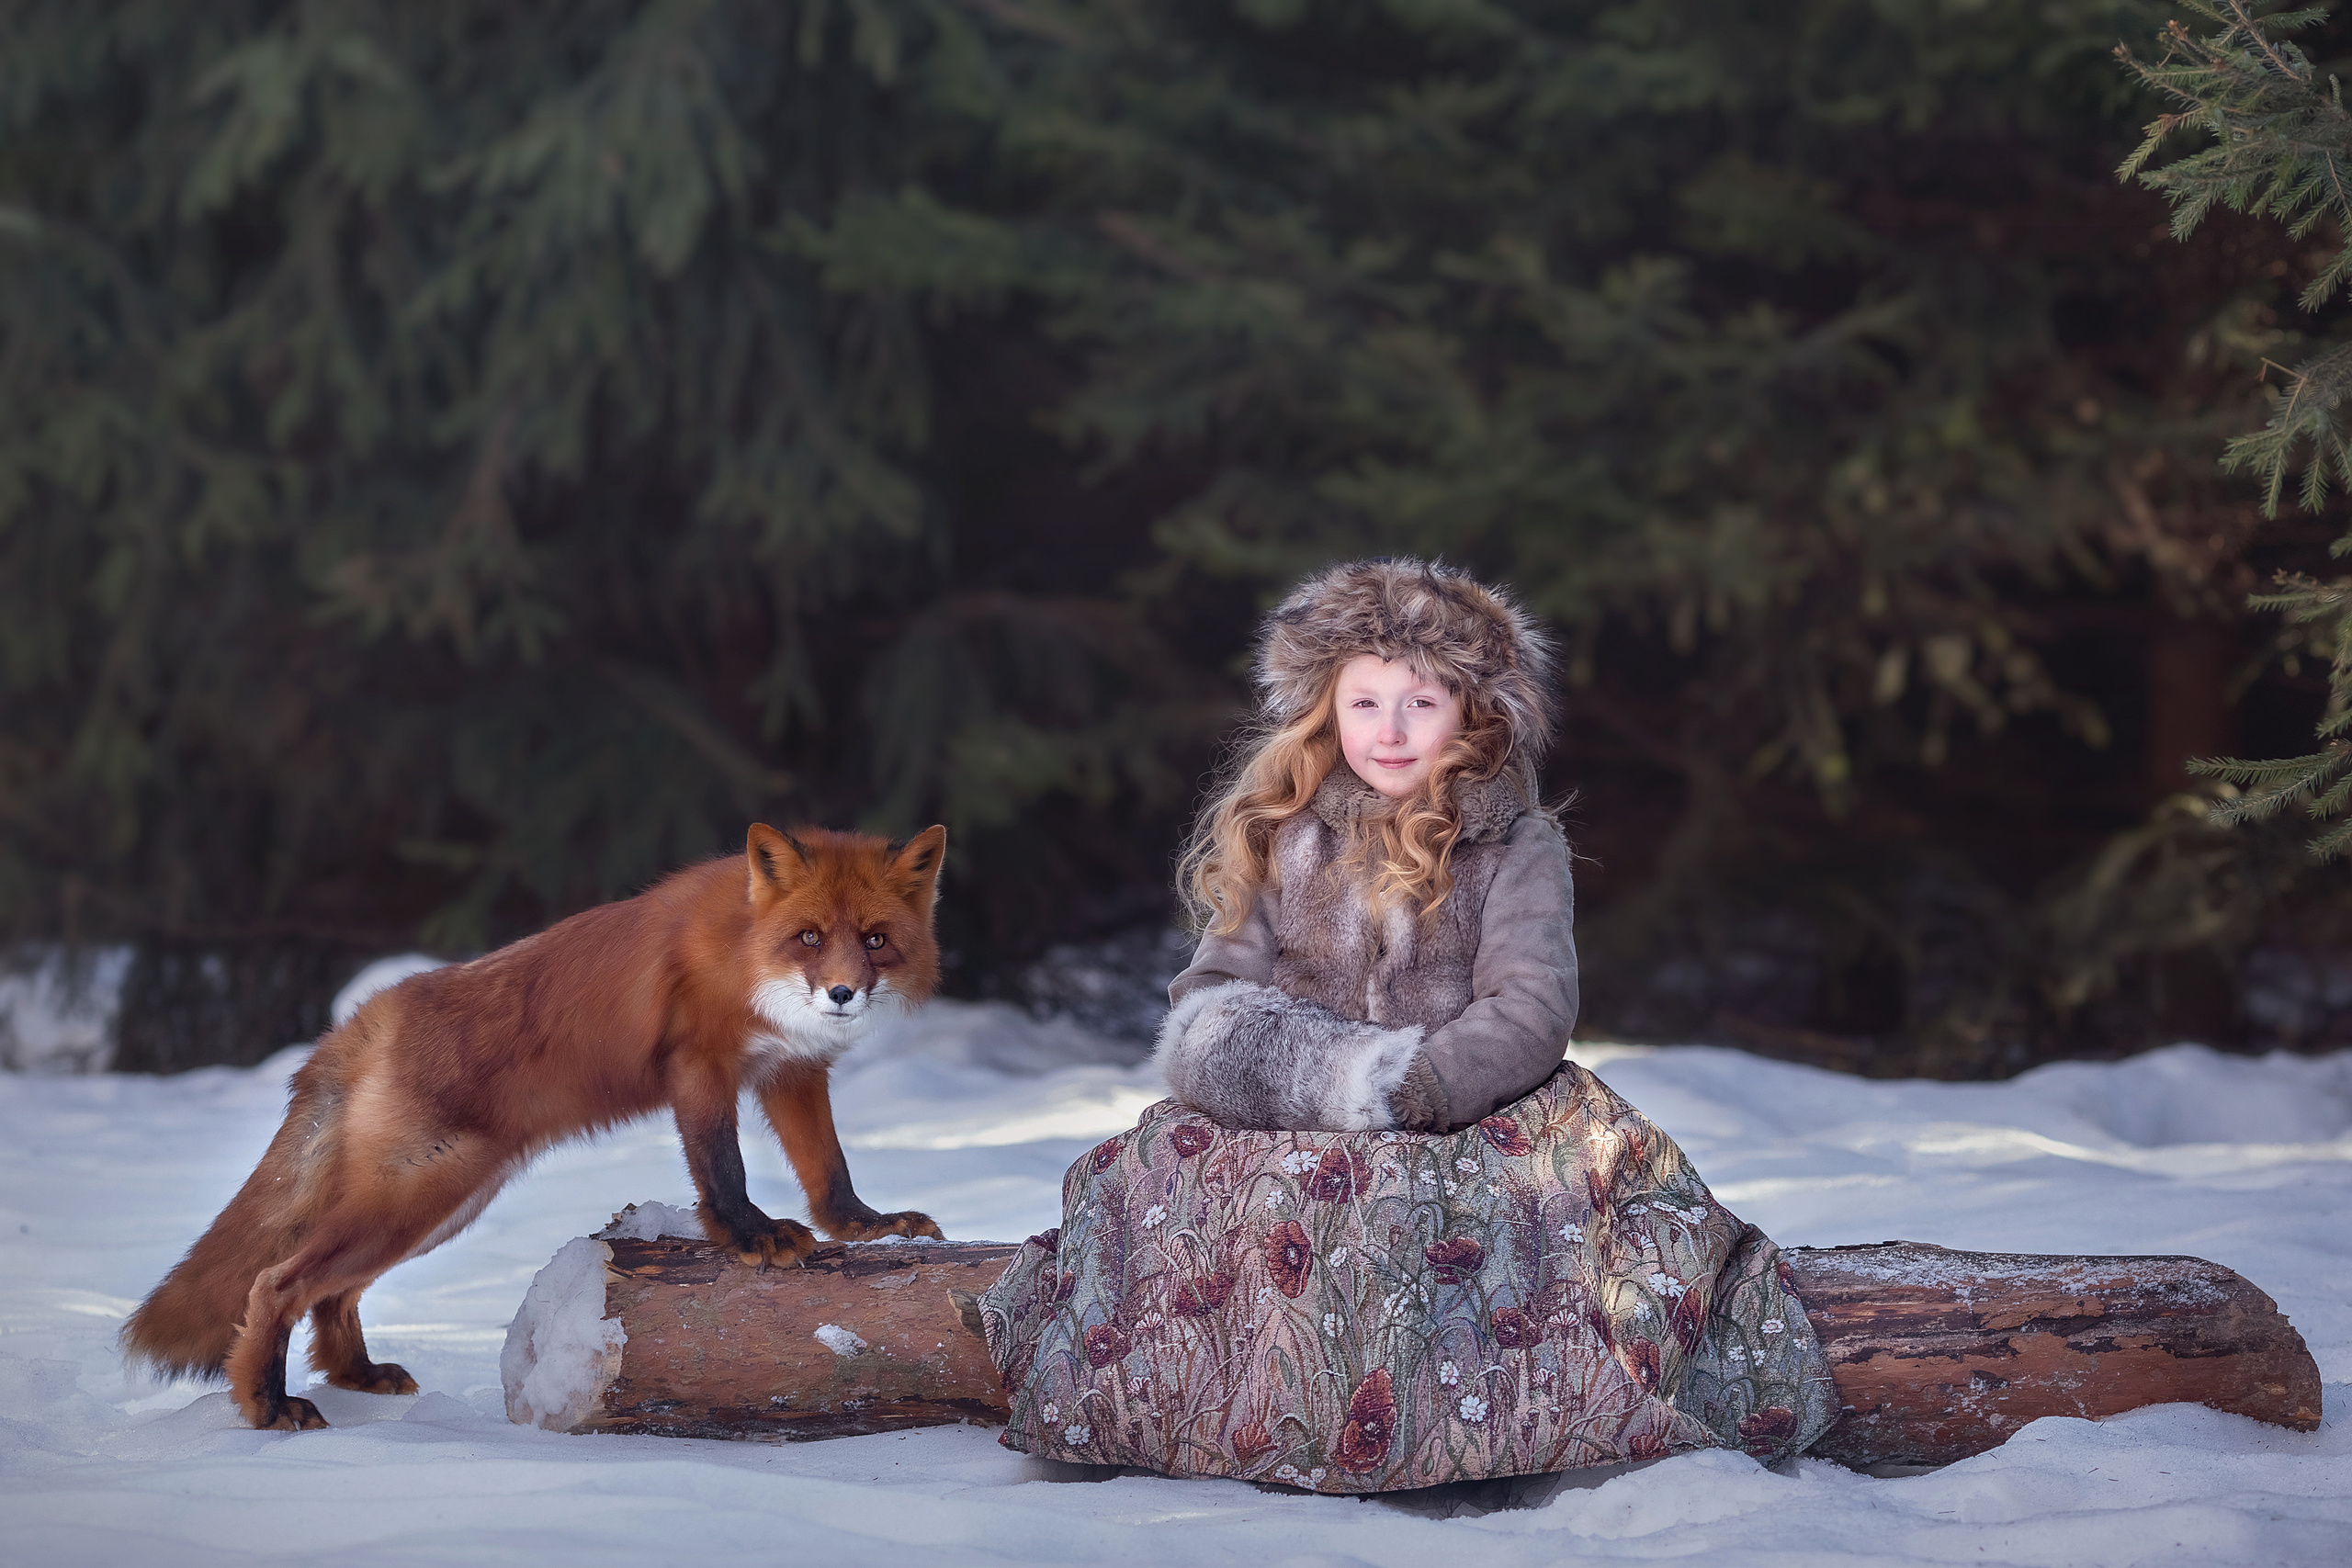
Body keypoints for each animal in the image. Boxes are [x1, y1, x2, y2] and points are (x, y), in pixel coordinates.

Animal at [121, 822, 950, 1431]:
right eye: (809, 937)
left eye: (874, 939)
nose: (842, 993)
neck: (746, 953)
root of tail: (367, 1013)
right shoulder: (699, 1065)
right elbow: (723, 1167)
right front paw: (750, 1234)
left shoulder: (790, 1070)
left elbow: (829, 1170)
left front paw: (867, 1226)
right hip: (423, 1193)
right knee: (275, 1282)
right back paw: (266, 1403)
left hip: (444, 1204)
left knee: (333, 1292)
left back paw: (355, 1375)